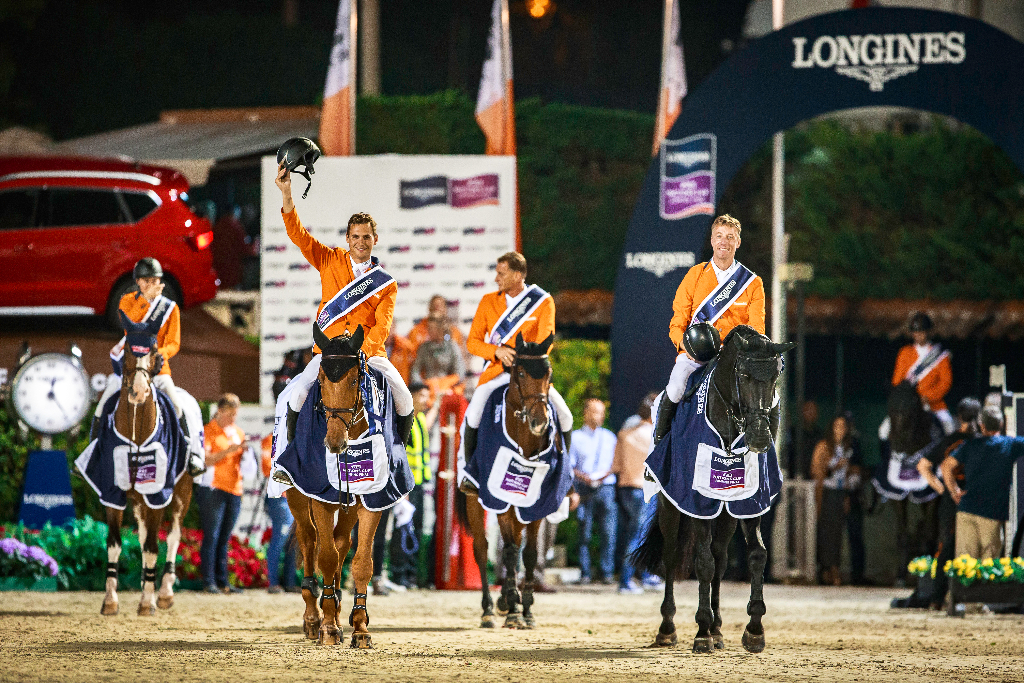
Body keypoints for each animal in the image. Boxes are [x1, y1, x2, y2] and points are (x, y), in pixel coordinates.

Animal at [100, 313, 194, 618]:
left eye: (153, 351)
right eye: (129, 349)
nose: (139, 392)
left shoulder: (157, 495)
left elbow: (154, 546)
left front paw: (147, 602)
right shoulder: (113, 494)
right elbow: (115, 544)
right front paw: (110, 601)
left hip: (181, 494)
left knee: (173, 536)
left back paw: (162, 592)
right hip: (138, 501)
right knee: (142, 537)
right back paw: (146, 582)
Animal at [284, 325, 385, 647]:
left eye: (354, 380)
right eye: (321, 380)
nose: (334, 443)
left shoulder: (372, 500)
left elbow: (361, 562)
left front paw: (360, 627)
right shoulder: (320, 499)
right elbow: (326, 558)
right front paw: (328, 628)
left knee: (342, 543)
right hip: (297, 498)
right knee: (309, 540)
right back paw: (313, 619)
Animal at [460, 331, 565, 630]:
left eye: (549, 373)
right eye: (519, 371)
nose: (540, 422)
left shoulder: (538, 504)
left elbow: (528, 554)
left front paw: (526, 609)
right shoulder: (500, 500)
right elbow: (507, 551)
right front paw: (513, 609)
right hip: (476, 501)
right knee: (483, 549)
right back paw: (489, 609)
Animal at [630, 327, 790, 655]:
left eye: (775, 376)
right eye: (743, 374)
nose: (759, 437)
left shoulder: (749, 501)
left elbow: (757, 555)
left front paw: (754, 629)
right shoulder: (697, 500)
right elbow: (702, 562)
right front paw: (701, 631)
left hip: (725, 514)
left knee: (720, 559)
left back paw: (717, 629)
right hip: (670, 506)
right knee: (672, 556)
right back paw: (668, 628)